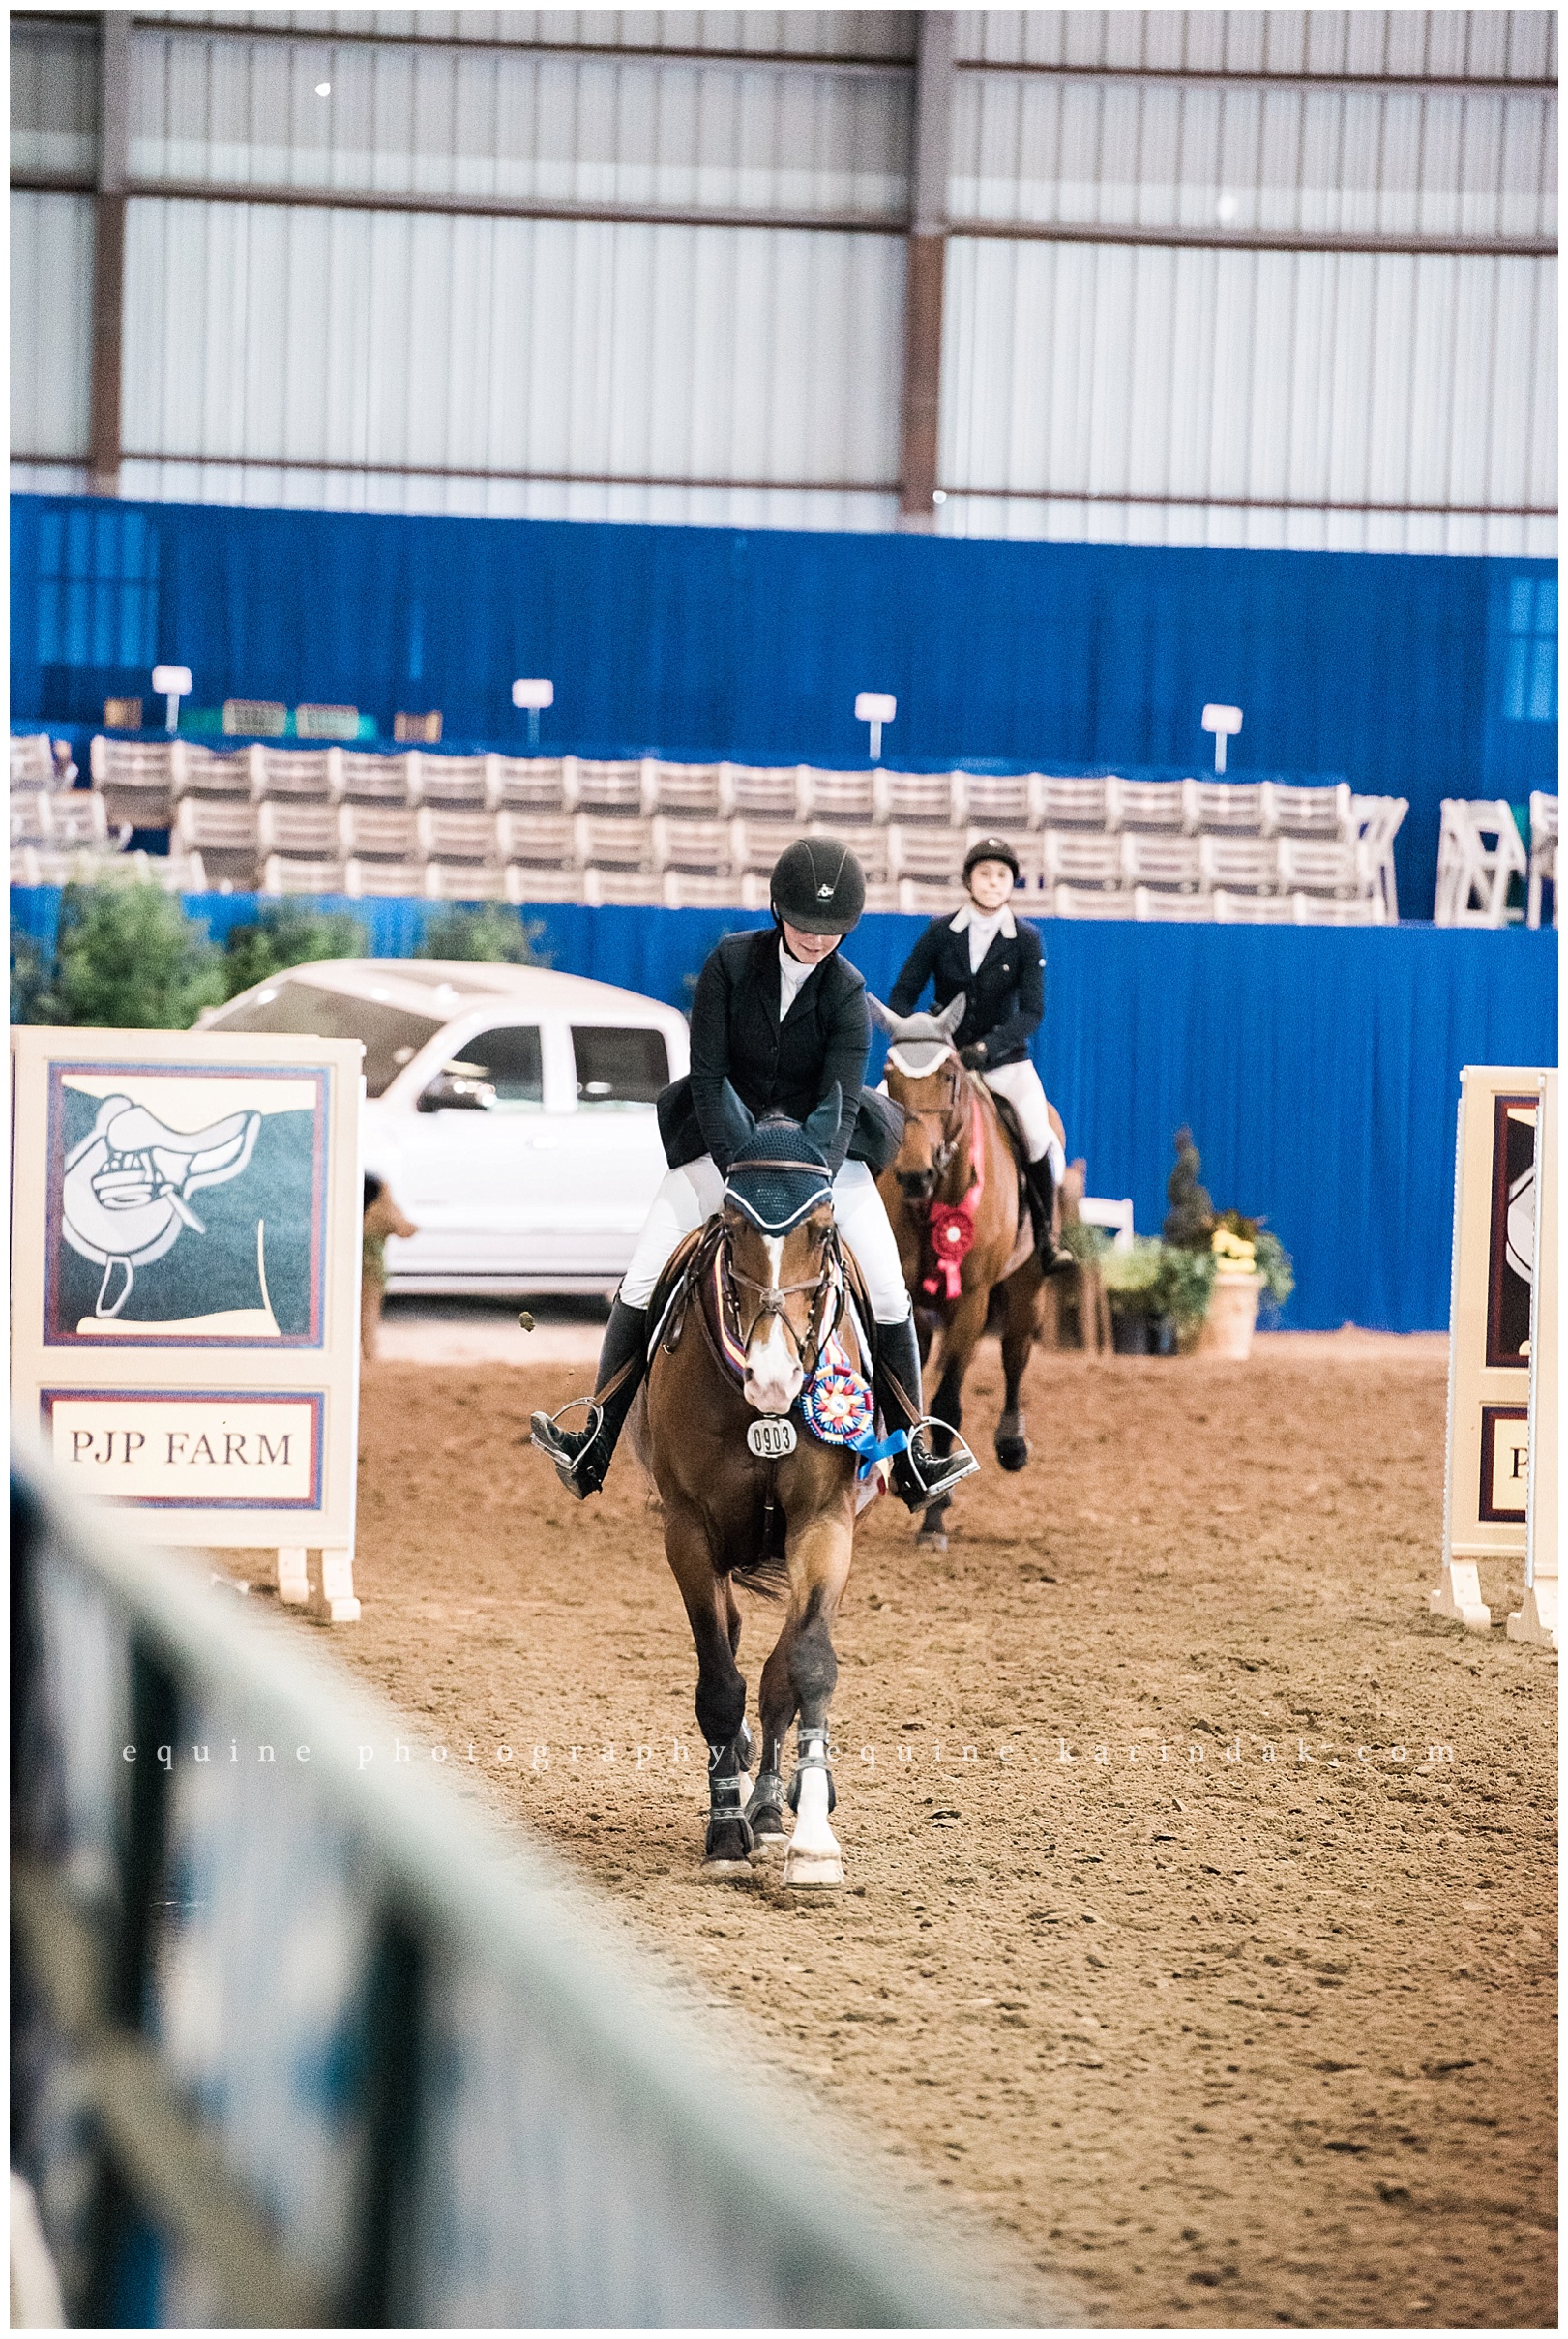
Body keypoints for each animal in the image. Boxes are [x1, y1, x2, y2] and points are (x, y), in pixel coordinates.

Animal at [632, 1089, 889, 1880]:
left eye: (823, 1229)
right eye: (733, 1225)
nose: (773, 1379)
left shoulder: (824, 1522)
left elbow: (802, 1669)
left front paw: (809, 1840)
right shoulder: (687, 1532)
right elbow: (720, 1683)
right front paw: (724, 1833)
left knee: (777, 1671)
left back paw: (776, 1805)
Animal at [871, 996, 1067, 1543]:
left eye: (950, 1076)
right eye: (890, 1076)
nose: (914, 1173)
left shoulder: (973, 1299)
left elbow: (949, 1401)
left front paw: (935, 1520)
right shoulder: (908, 1294)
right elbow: (910, 1391)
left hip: (1026, 1287)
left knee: (1016, 1353)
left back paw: (1011, 1445)